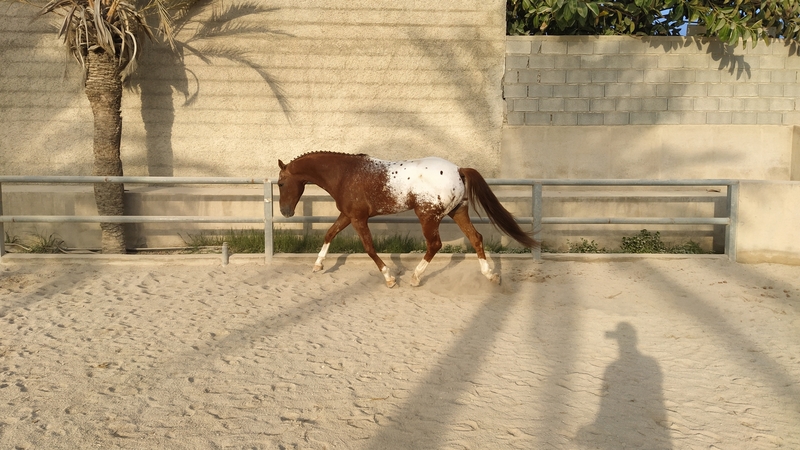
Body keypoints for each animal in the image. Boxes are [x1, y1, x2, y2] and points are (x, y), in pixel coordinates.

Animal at [277, 152, 538, 288]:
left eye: (280, 183)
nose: (285, 212)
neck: (345, 175)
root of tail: (458, 170)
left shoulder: (359, 218)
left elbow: (369, 248)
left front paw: (390, 278)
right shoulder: (348, 215)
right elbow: (329, 233)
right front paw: (318, 265)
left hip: (428, 216)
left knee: (435, 245)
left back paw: (415, 277)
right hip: (458, 212)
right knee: (476, 238)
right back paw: (491, 275)